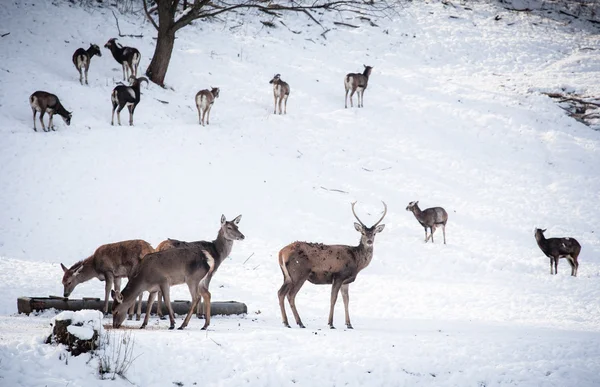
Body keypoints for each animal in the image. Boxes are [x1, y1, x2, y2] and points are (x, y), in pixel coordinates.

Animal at [111, 215, 245, 330]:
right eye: (229, 227)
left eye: (237, 226)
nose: (242, 236)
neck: (218, 253)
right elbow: (153, 302)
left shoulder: (163, 282)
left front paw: (172, 323)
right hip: (194, 279)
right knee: (203, 295)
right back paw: (196, 324)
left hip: (193, 279)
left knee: (199, 296)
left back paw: (186, 324)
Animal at [278, 200, 386, 330]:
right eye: (363, 233)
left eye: (374, 234)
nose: (369, 241)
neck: (356, 261)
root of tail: (281, 253)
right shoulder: (338, 275)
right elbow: (333, 299)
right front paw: (331, 323)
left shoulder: (345, 281)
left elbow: (346, 300)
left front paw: (349, 324)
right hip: (299, 273)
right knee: (290, 295)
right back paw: (300, 323)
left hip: (287, 276)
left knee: (280, 293)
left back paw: (286, 322)